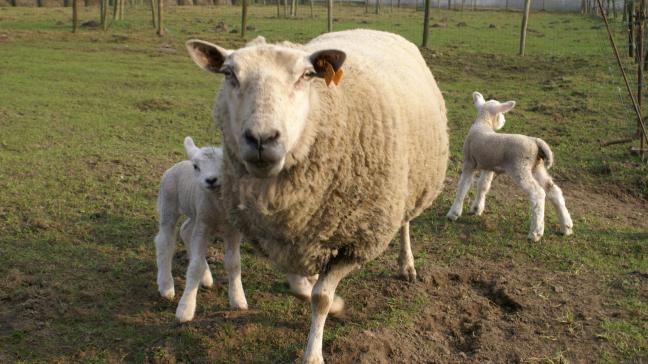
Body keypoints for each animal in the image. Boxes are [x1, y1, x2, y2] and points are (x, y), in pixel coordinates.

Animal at [154, 136, 248, 322]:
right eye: (196, 167)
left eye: (224, 164)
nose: (210, 180)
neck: (219, 207)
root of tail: (180, 163)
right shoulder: (203, 226)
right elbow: (195, 267)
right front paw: (185, 309)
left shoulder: (232, 231)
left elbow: (234, 263)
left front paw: (238, 298)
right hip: (169, 204)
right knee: (164, 242)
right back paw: (166, 285)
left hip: (194, 213)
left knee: (185, 231)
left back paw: (206, 276)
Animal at [182, 29, 448, 362]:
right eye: (229, 74)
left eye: (306, 75)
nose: (262, 139)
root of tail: (375, 30)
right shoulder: (276, 237)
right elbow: (299, 287)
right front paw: (311, 287)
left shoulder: (355, 243)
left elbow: (321, 298)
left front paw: (316, 346)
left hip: (409, 185)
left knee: (405, 224)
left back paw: (407, 264)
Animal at [448, 91, 576, 242]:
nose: (504, 121)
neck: (483, 124)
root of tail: (535, 141)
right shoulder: (488, 166)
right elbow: (483, 186)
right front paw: (476, 208)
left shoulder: (469, 162)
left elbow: (463, 187)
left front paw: (454, 213)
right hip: (537, 168)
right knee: (553, 191)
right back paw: (566, 227)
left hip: (520, 168)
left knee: (537, 193)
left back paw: (536, 233)